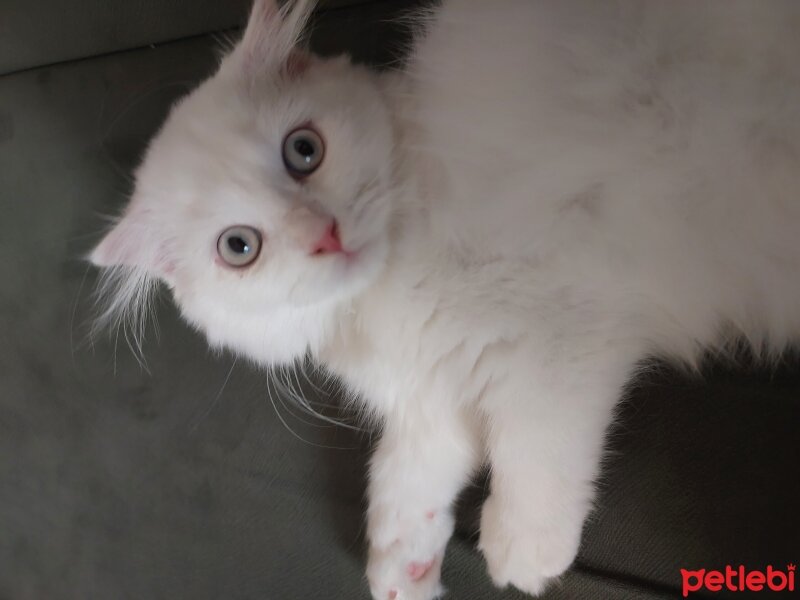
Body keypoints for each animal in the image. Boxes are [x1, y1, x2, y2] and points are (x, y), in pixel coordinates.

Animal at [90, 2, 800, 596]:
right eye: (239, 247)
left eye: (303, 150)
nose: (323, 236)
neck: (388, 286)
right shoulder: (431, 403)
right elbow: (401, 485)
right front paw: (401, 575)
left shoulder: (556, 344)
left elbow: (534, 449)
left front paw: (523, 551)